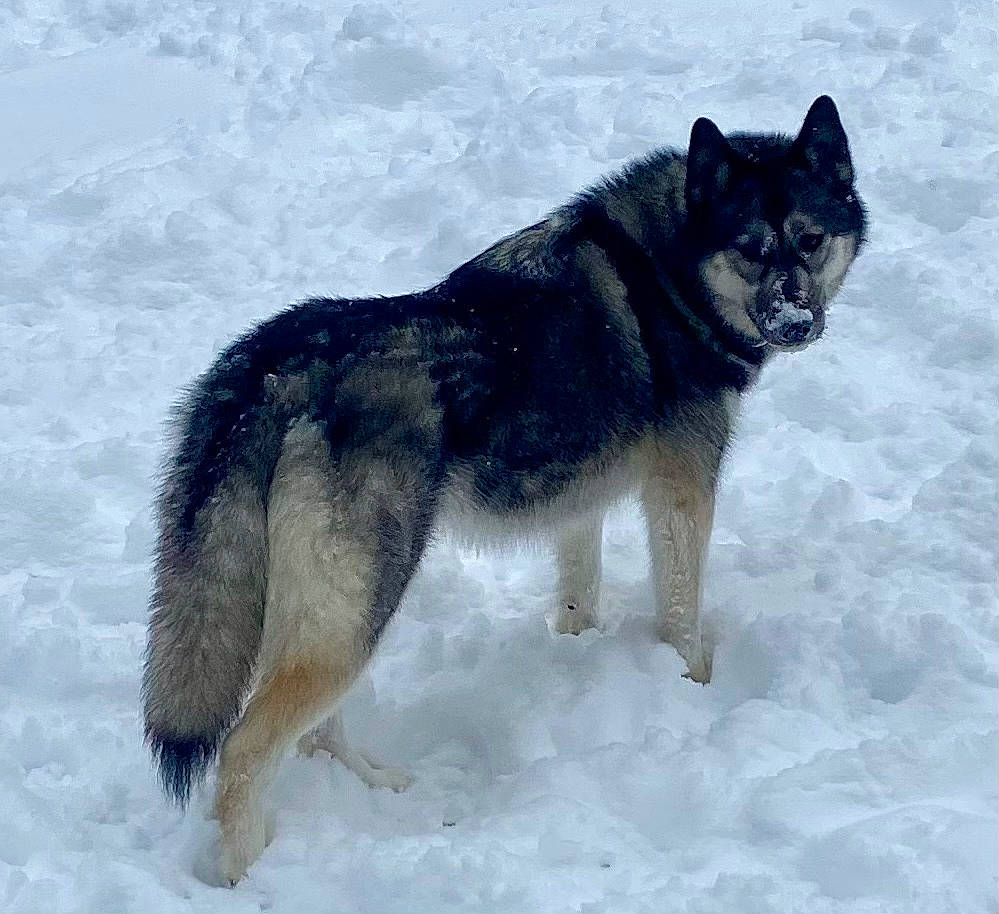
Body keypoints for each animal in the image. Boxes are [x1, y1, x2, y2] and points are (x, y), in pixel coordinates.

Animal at [142, 95, 866, 883]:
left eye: (809, 240)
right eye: (750, 247)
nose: (795, 321)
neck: (666, 271)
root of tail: (274, 367)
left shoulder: (582, 503)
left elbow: (579, 598)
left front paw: (581, 651)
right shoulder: (681, 494)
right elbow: (681, 619)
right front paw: (695, 693)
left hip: (330, 609)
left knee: (311, 734)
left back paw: (376, 786)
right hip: (356, 608)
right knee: (246, 751)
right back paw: (252, 878)